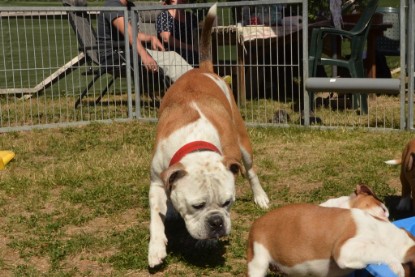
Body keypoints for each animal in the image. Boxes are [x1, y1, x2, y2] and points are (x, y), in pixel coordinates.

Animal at [148, 3, 272, 268]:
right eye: (197, 205)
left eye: (228, 202)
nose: (217, 222)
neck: (196, 144)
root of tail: (202, 68)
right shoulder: (155, 180)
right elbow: (155, 216)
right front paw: (155, 248)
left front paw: (208, 242)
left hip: (243, 144)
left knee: (251, 172)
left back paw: (260, 197)